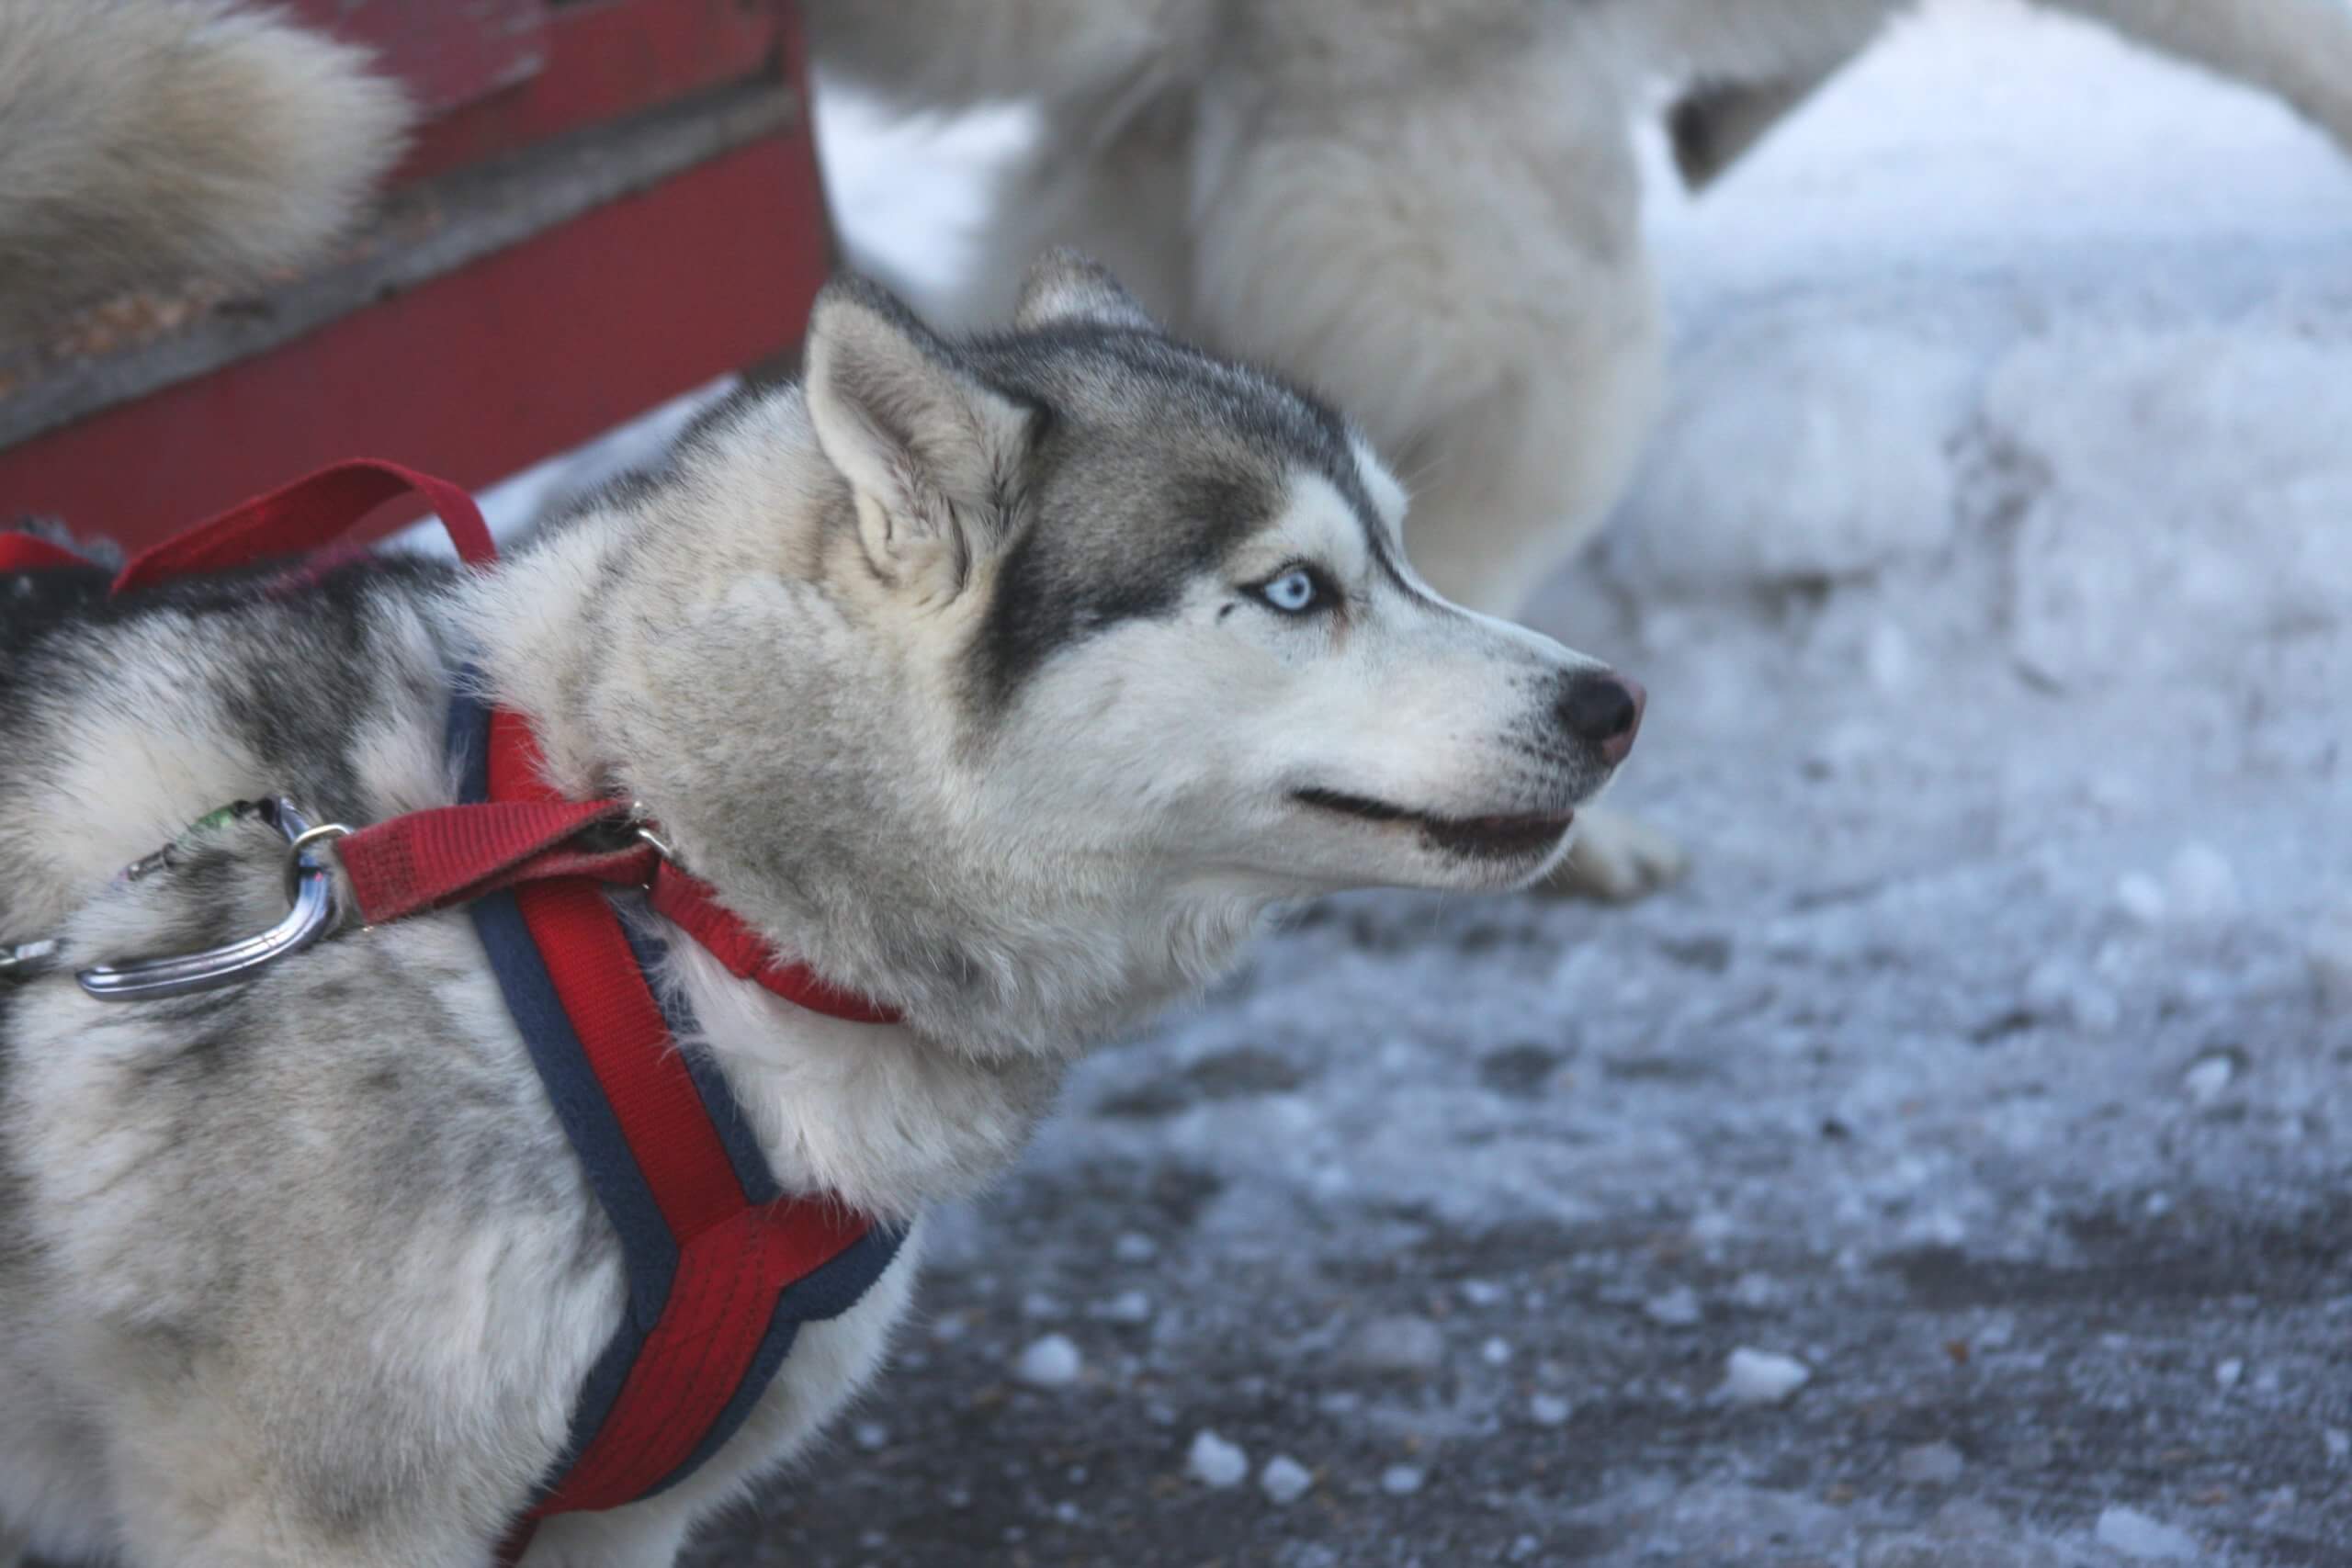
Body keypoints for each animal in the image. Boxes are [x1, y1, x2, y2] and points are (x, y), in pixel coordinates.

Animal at [0, 254, 1646, 1568]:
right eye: (1297, 590)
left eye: (1403, 552)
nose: (1615, 703)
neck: (661, 887)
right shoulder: (313, 1519)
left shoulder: (613, 1519)